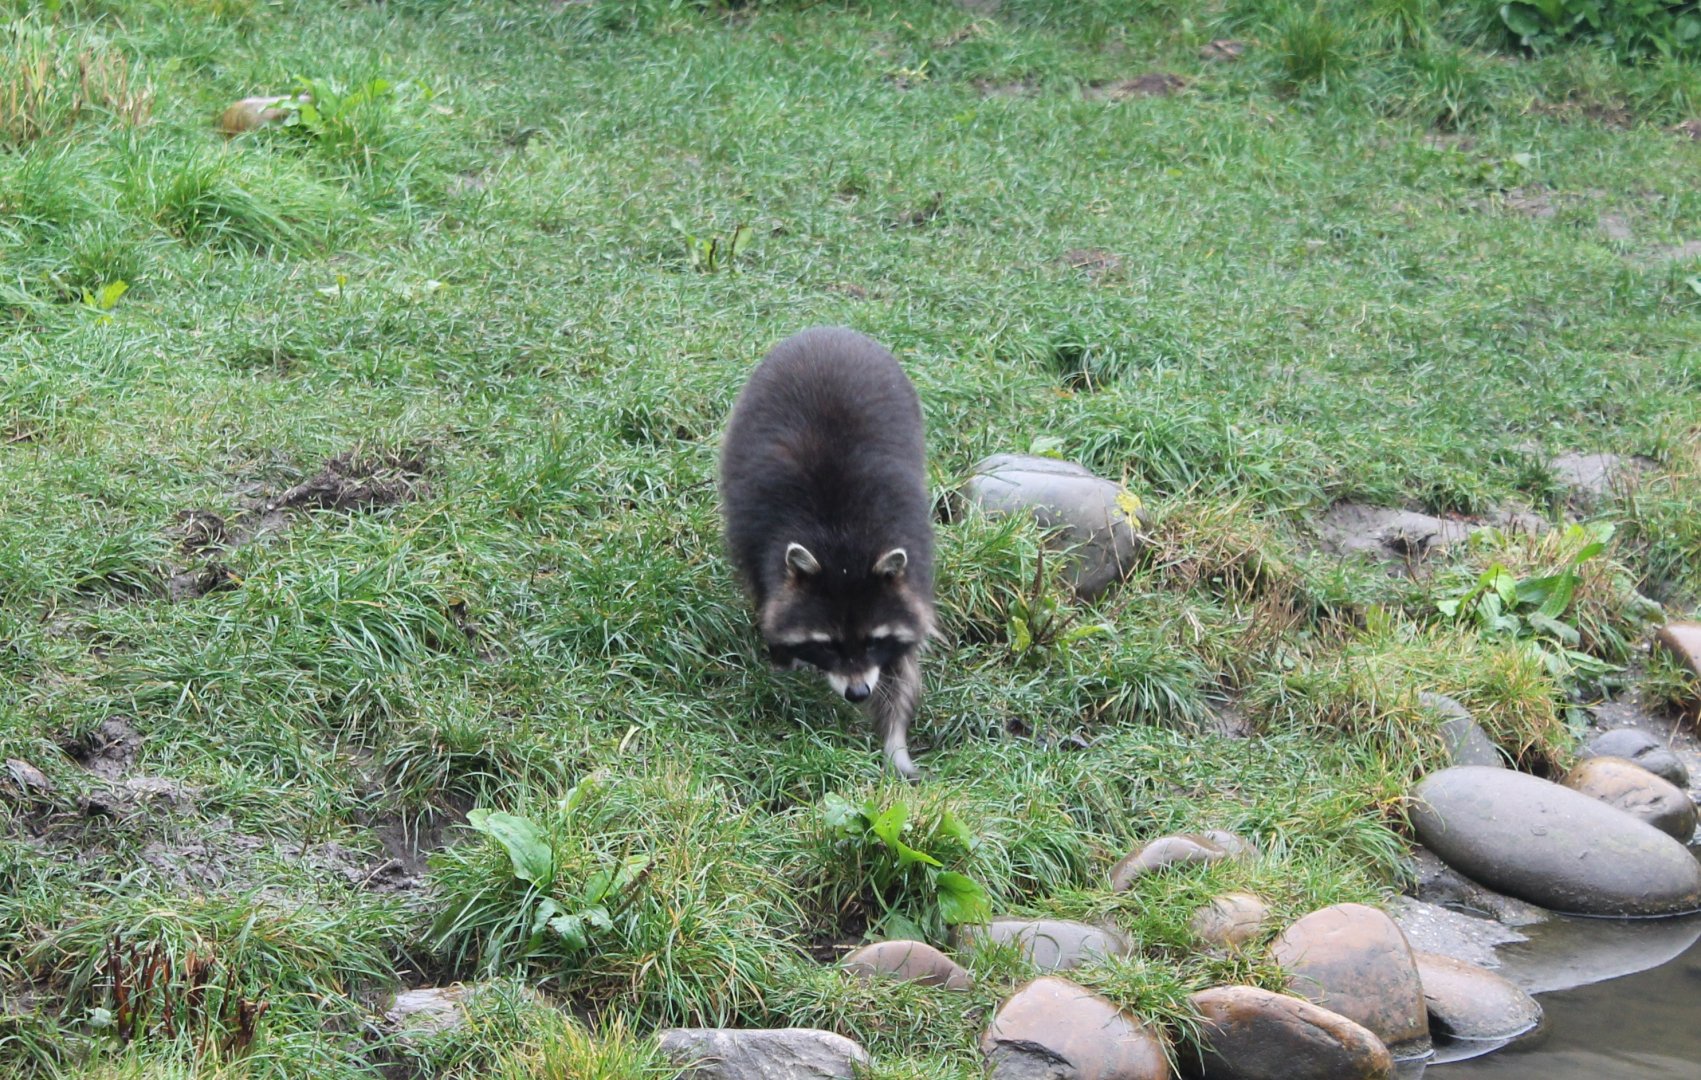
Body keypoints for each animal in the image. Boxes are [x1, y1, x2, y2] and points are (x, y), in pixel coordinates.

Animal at [719, 326, 937, 780]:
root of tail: (829, 332)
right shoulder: (759, 539)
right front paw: (782, 660)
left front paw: (895, 737)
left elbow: (903, 666)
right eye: (828, 645)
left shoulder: (912, 560)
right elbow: (769, 601)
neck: (844, 548)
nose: (858, 693)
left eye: (873, 642)